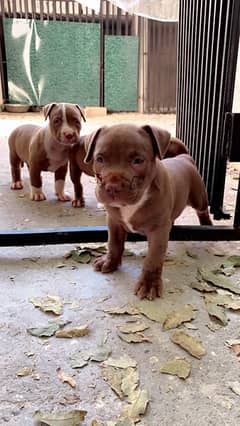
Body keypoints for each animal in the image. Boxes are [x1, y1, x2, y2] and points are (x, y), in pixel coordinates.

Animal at [83, 124, 213, 300]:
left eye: (138, 161)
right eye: (100, 159)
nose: (112, 187)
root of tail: (183, 157)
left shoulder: (158, 231)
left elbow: (153, 258)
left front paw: (149, 284)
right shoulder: (114, 222)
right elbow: (114, 244)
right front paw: (110, 262)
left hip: (198, 196)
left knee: (203, 210)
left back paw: (207, 224)